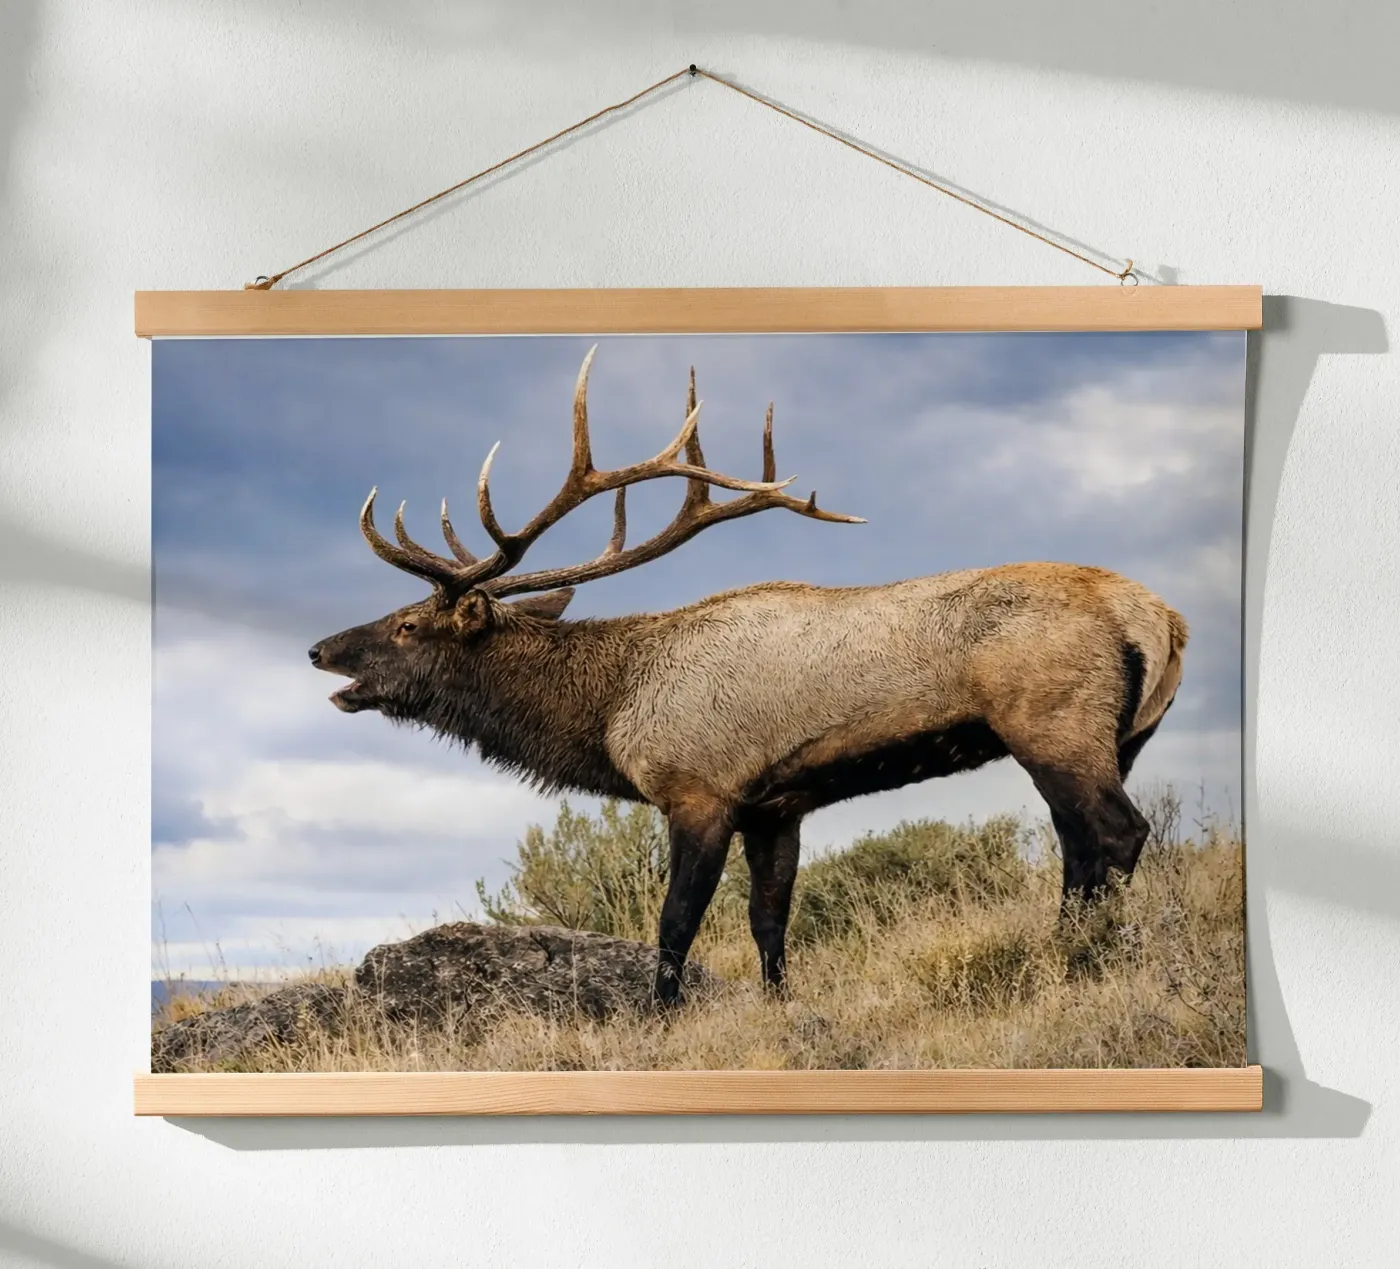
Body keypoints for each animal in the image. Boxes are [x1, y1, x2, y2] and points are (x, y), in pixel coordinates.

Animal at [309, 346, 1188, 1006]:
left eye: (407, 624)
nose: (320, 649)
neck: (612, 711)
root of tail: (1163, 620)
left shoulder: (700, 788)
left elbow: (676, 924)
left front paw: (660, 1018)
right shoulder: (778, 806)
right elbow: (771, 924)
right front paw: (777, 1005)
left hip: (1054, 722)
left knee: (1116, 833)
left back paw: (1089, 958)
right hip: (1124, 736)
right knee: (1079, 846)